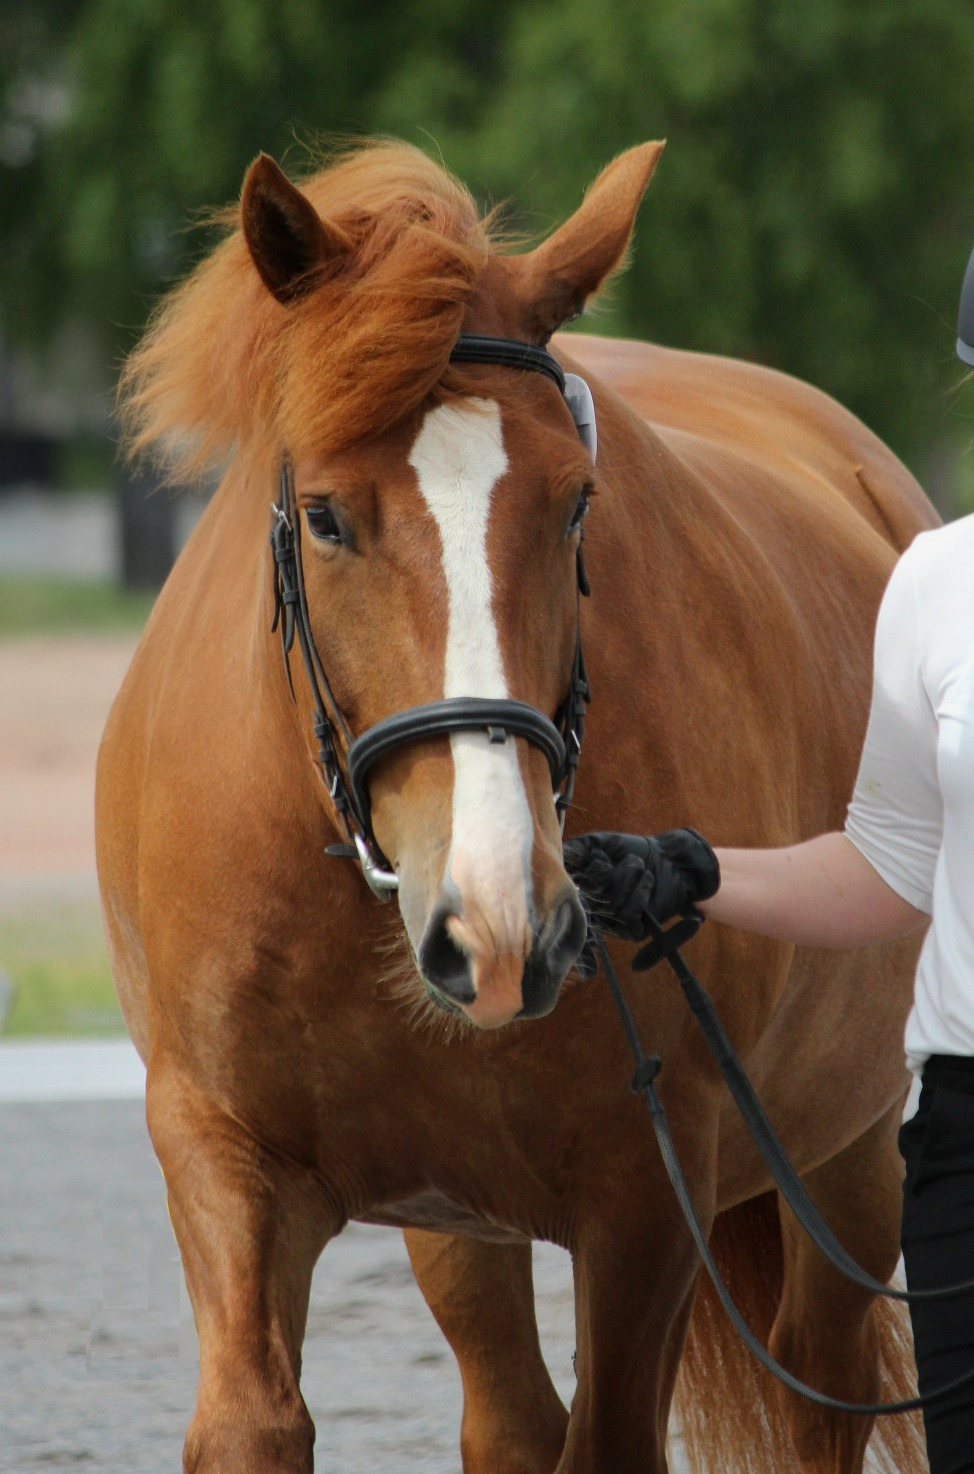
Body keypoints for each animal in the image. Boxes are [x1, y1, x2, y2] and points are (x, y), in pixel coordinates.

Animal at [96, 138, 938, 1474]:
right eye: (323, 515)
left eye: (575, 501)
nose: (500, 924)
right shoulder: (220, 1149)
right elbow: (251, 1421)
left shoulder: (645, 1199)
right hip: (462, 1222)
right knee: (507, 1415)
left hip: (843, 1152)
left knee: (817, 1387)